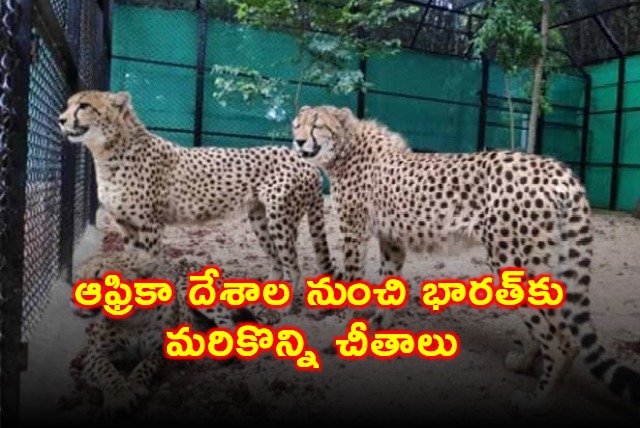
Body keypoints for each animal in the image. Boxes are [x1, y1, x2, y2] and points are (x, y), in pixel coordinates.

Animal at [58, 90, 335, 315]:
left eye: (83, 105)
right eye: (69, 104)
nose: (61, 119)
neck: (108, 152)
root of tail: (306, 162)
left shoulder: (149, 226)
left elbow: (148, 264)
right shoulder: (126, 225)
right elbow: (130, 263)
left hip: (281, 220)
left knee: (293, 265)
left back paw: (285, 307)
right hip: (261, 220)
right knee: (277, 260)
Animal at [291, 104, 640, 416]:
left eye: (317, 124)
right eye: (297, 124)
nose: (297, 141)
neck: (345, 148)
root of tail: (559, 169)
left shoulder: (353, 233)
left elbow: (354, 285)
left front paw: (349, 331)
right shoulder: (392, 239)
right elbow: (389, 282)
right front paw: (379, 325)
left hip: (509, 259)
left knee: (563, 340)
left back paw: (537, 402)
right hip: (540, 259)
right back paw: (524, 364)